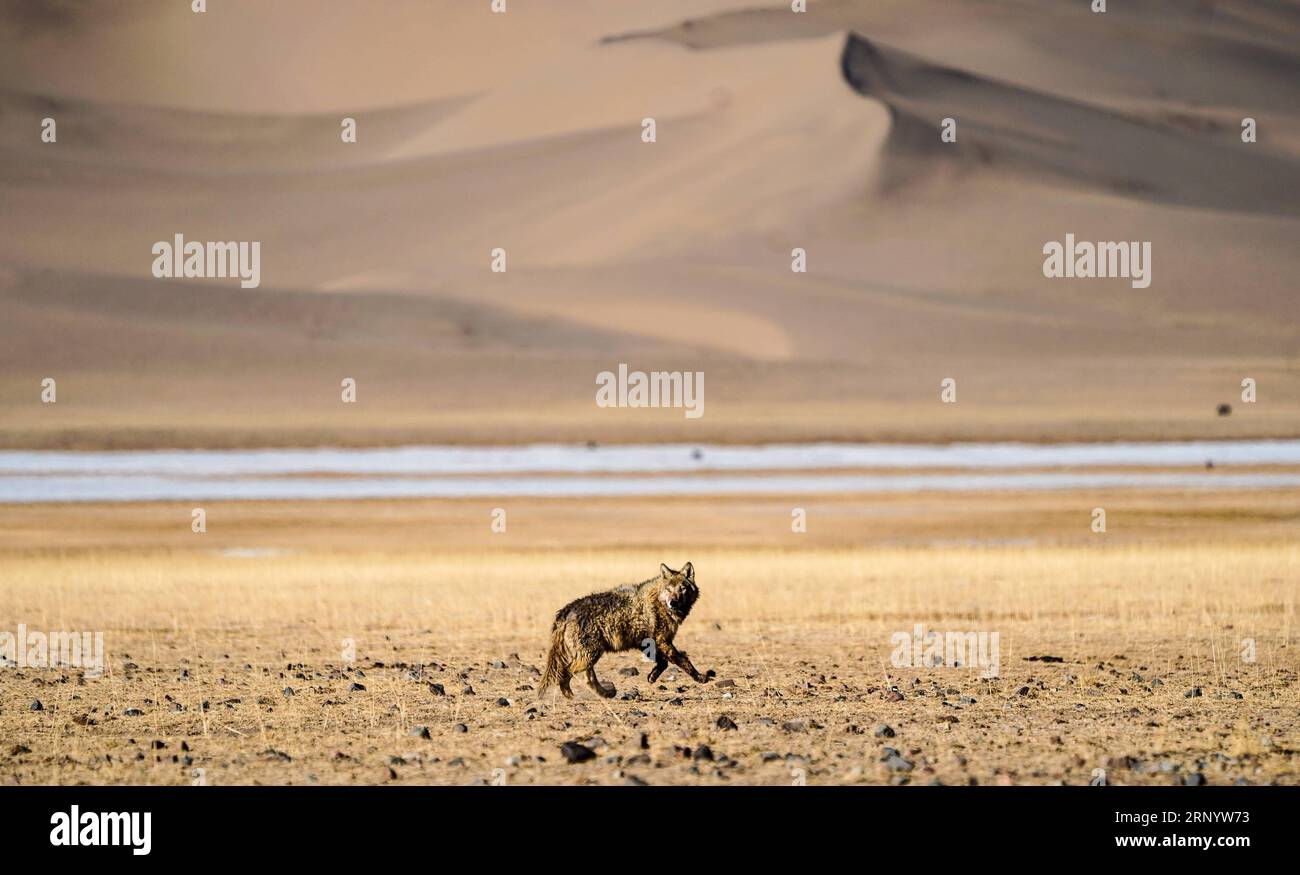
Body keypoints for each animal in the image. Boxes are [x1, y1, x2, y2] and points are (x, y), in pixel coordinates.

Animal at [540, 564, 717, 702]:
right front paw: (700, 677)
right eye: (669, 589)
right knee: (567, 672)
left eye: (683, 589)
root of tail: (566, 610)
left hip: (589, 656)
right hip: (589, 655)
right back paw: (573, 696)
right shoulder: (662, 641)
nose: (673, 602)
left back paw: (605, 694)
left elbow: (663, 663)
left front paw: (652, 676)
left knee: (586, 678)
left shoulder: (647, 641)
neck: (659, 602)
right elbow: (683, 661)